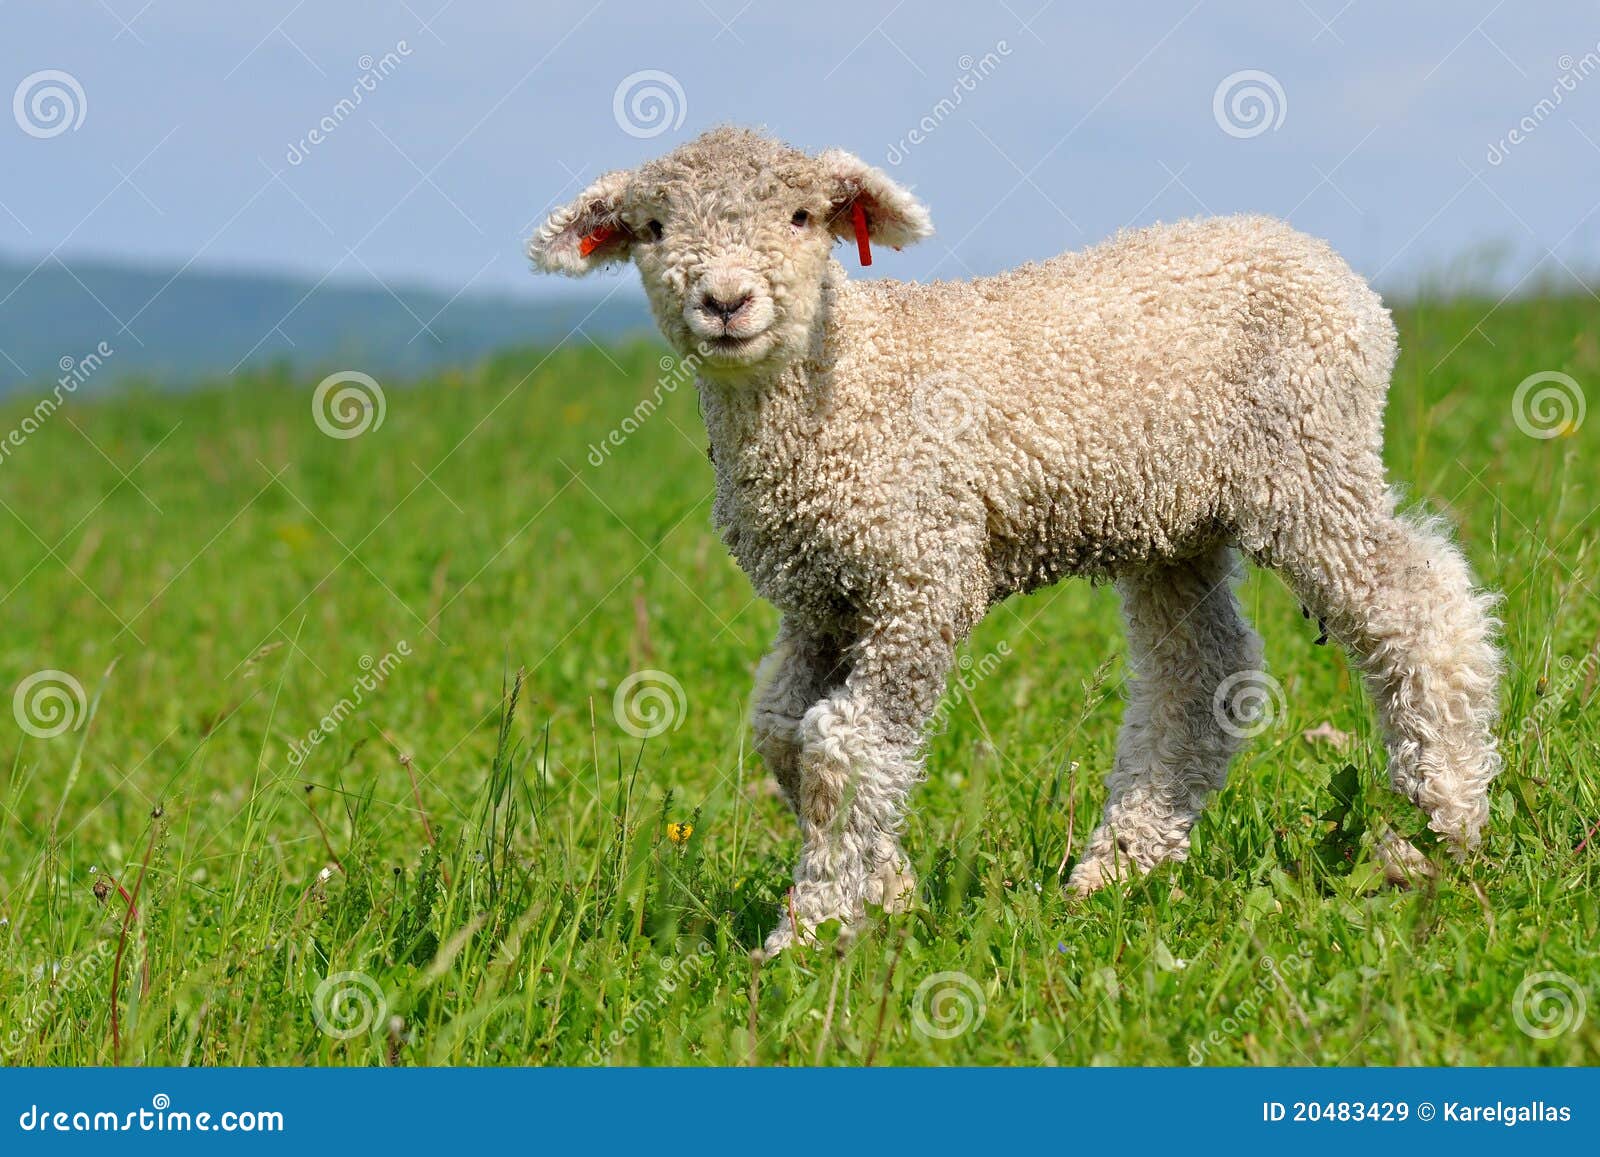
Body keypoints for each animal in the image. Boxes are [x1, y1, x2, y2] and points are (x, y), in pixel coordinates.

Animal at [529, 126, 1503, 958]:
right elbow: (783, 734)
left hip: (1307, 458)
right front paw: (884, 886)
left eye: (802, 217)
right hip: (1172, 520)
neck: (845, 385)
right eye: (653, 226)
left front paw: (812, 931)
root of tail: (1327, 264)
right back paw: (1120, 866)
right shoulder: (821, 595)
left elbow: (845, 744)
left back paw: (1443, 818)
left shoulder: (921, 569)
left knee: (1412, 603)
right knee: (1202, 673)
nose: (725, 302)